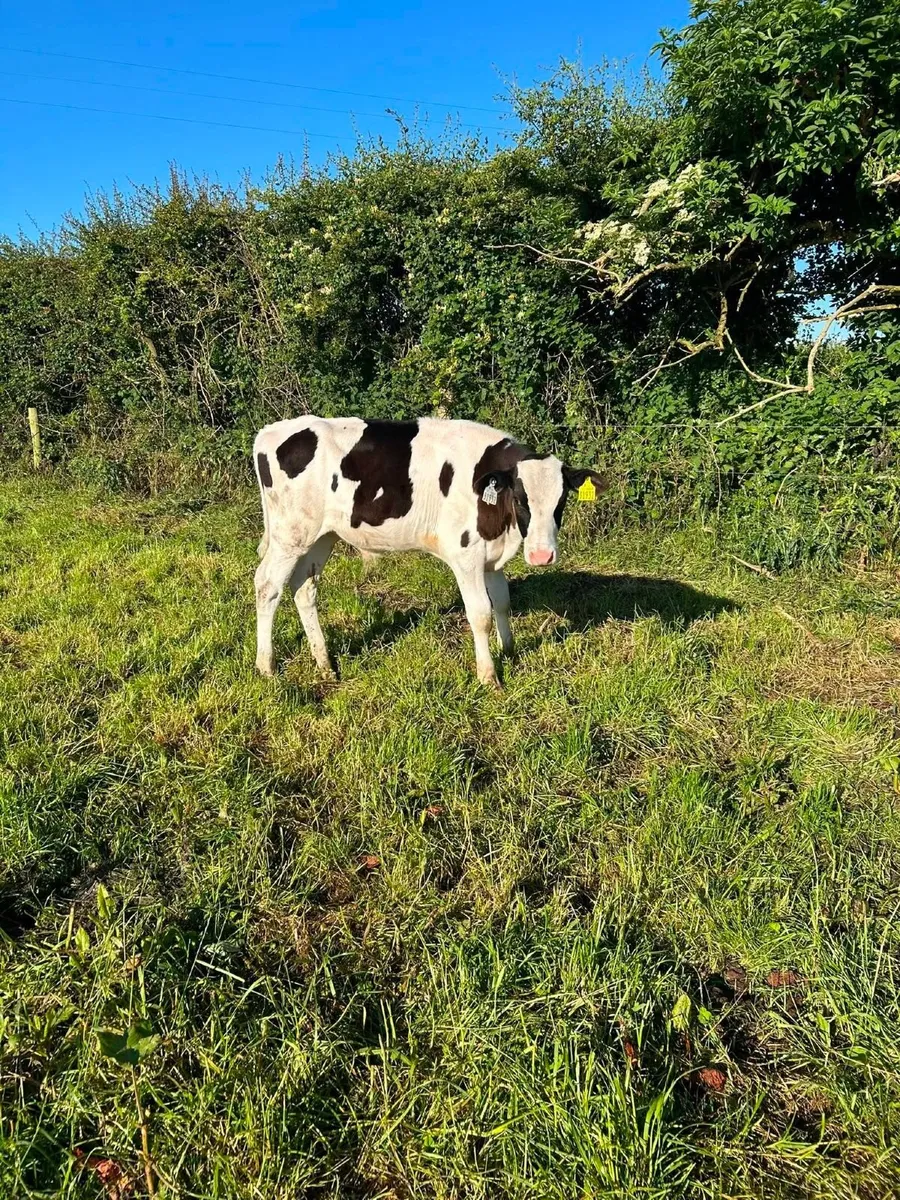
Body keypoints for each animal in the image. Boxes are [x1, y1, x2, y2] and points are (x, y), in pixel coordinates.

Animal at [252, 417, 605, 688]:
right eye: (520, 498)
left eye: (562, 500)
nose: (542, 556)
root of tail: (272, 429)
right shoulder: (466, 555)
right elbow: (481, 614)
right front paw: (489, 676)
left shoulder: (491, 558)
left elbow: (503, 603)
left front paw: (509, 651)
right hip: (290, 534)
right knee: (267, 585)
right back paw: (267, 667)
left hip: (321, 536)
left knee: (304, 588)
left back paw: (325, 663)